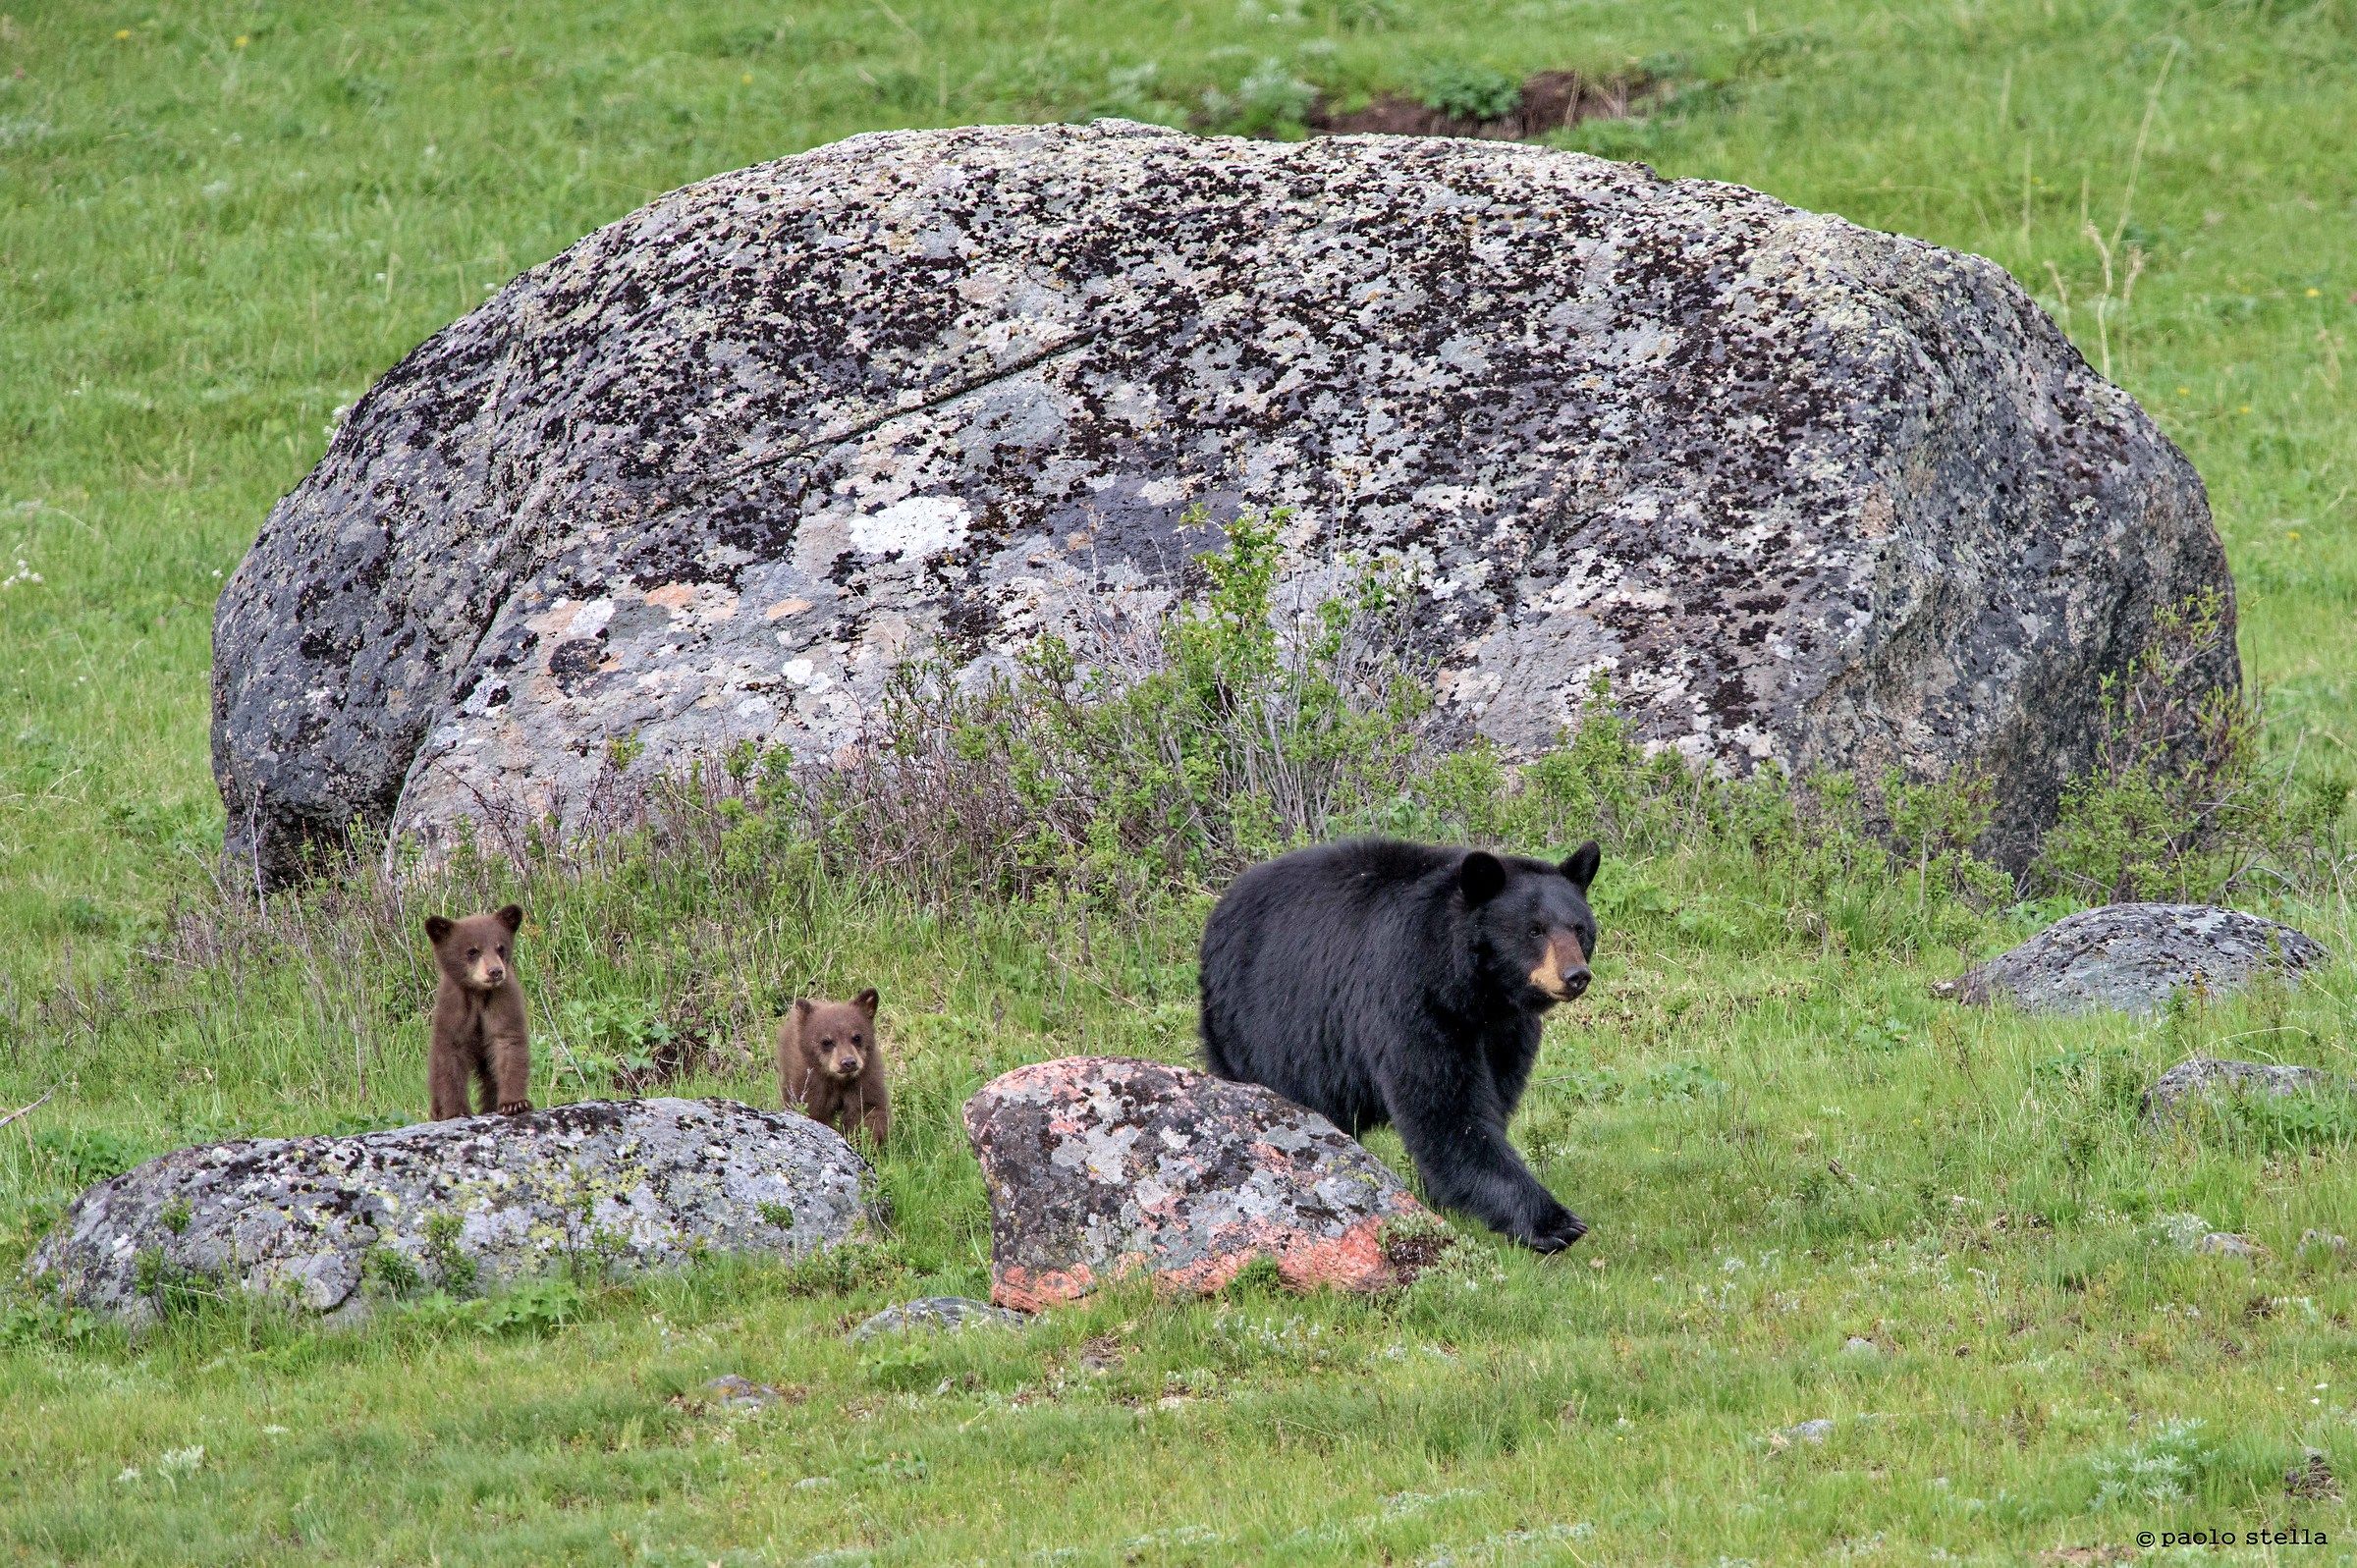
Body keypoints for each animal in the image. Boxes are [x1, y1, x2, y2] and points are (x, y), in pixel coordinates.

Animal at [424, 904, 532, 1120]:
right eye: (472, 951)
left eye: (500, 947)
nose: (495, 971)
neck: (478, 995)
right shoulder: (454, 1008)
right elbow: (450, 1056)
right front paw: (456, 1111)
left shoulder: (502, 1000)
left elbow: (508, 1044)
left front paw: (514, 1104)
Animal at [777, 988, 890, 1147]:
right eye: (826, 1041)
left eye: (857, 1037)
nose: (848, 1062)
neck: (839, 1081)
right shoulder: (812, 1084)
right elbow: (815, 1113)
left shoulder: (865, 1080)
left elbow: (869, 1111)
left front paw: (865, 1143)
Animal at [1198, 837, 1601, 1252]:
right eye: (1534, 930)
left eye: (1579, 928)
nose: (1575, 975)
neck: (1474, 992)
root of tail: (1222, 907)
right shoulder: (1410, 998)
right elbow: (1444, 1107)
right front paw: (1554, 1222)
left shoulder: (1506, 1032)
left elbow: (1493, 1098)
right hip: (1256, 1021)